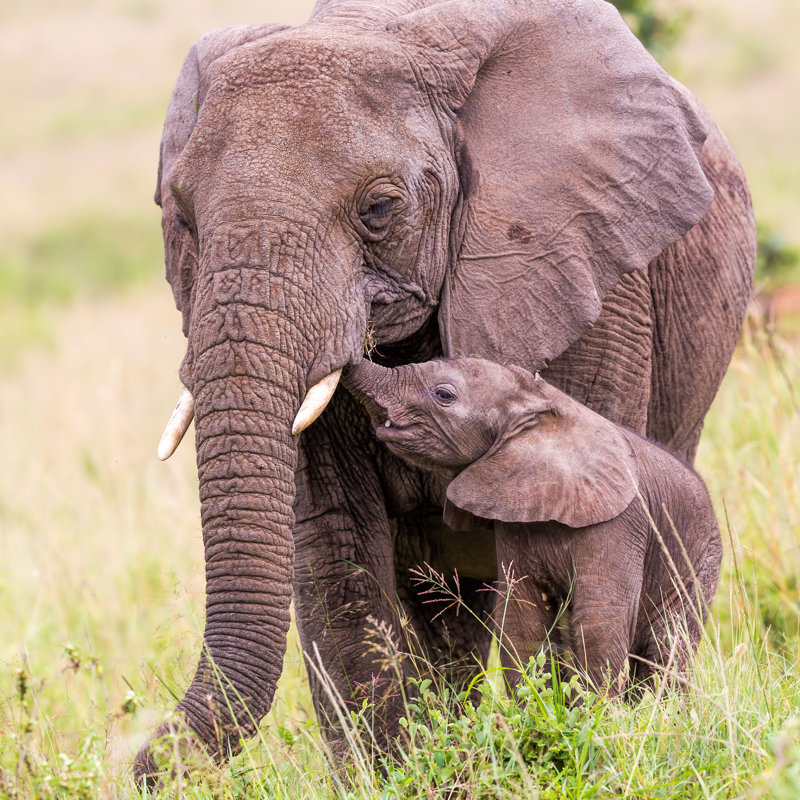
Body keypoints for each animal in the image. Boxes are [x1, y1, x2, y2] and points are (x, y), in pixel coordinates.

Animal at [344, 355, 723, 691]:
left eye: (444, 395)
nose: (349, 358)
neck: (539, 406)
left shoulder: (620, 523)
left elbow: (600, 620)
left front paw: (599, 716)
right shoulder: (515, 517)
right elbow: (521, 619)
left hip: (701, 562)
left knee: (666, 648)